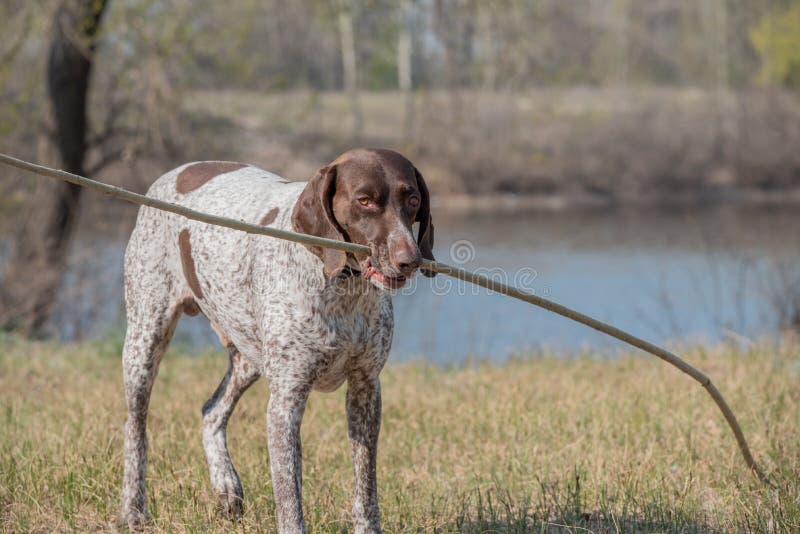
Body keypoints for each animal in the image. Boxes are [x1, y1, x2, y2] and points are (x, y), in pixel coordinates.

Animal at [115, 149, 434, 532]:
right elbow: (289, 497)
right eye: (365, 200)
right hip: (145, 340)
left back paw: (226, 485)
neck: (342, 288)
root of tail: (174, 172)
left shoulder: (365, 389)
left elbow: (365, 489)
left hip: (250, 356)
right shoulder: (286, 402)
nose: (409, 260)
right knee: (135, 429)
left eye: (412, 200)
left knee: (211, 410)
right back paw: (133, 510)